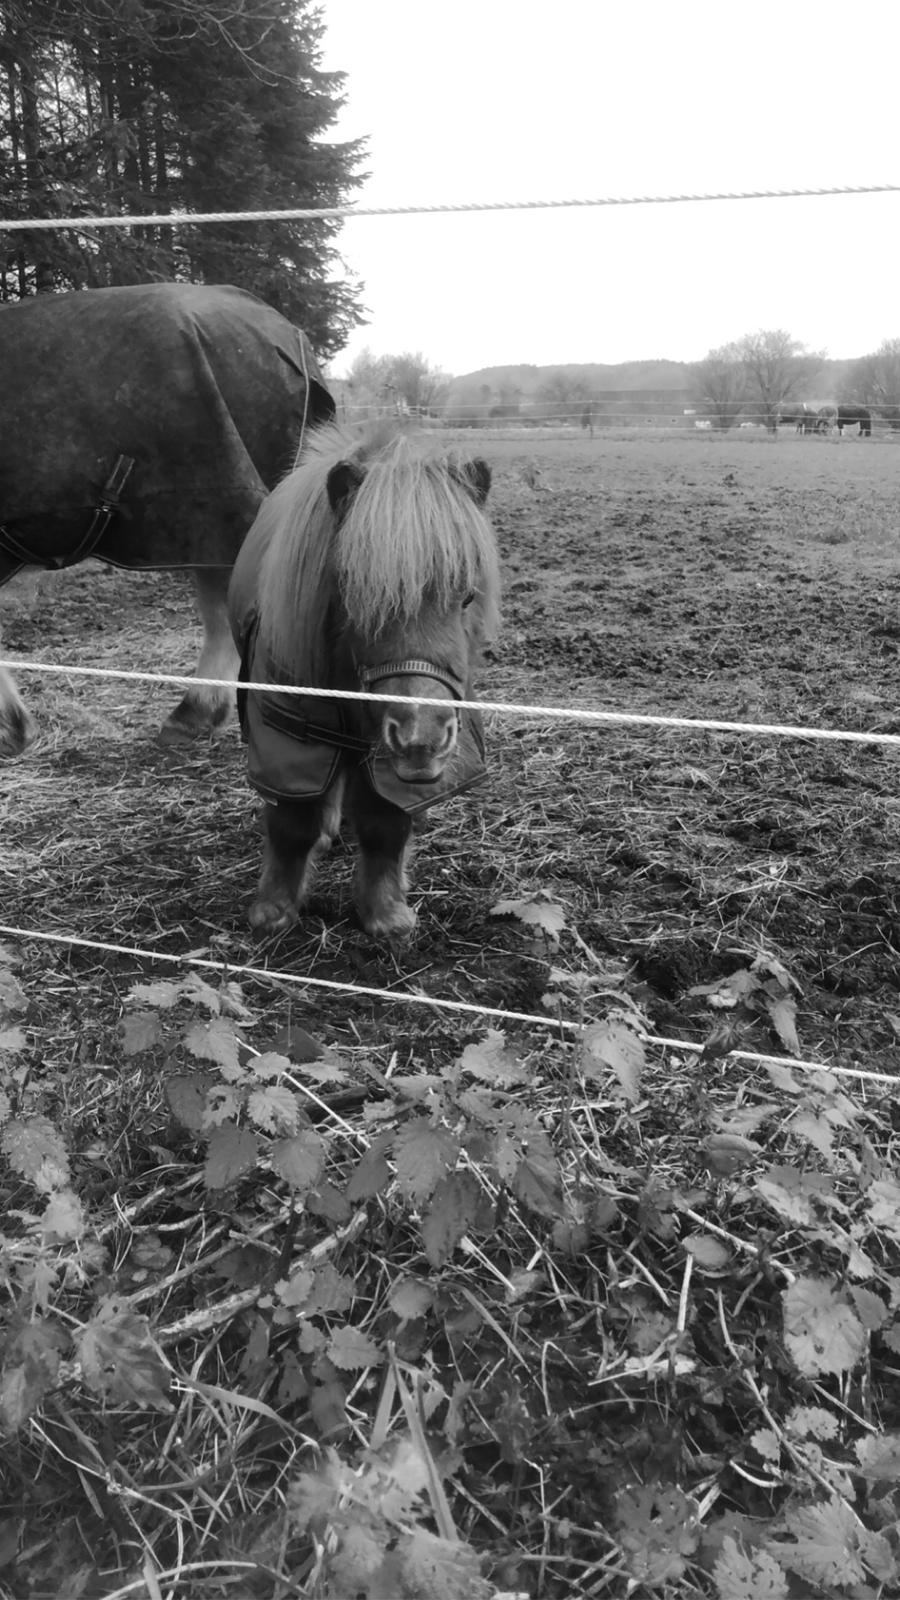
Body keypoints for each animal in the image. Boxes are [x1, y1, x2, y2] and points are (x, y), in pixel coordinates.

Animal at [227, 425, 499, 940]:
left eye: (468, 596)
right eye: (354, 596)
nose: (421, 739)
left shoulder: (389, 761)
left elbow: (384, 825)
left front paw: (386, 914)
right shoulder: (290, 737)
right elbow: (291, 823)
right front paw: (273, 910)